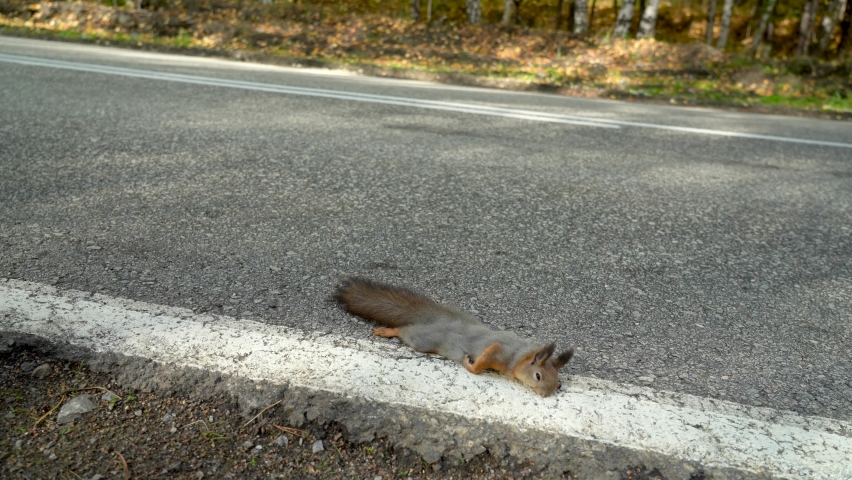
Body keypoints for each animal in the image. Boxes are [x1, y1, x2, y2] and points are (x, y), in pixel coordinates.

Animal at [335, 278, 574, 397]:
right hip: (422, 340)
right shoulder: (501, 352)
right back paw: (388, 331)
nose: (545, 395)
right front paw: (470, 365)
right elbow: (484, 359)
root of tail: (437, 319)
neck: (523, 354)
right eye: (538, 376)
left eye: (558, 383)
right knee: (404, 331)